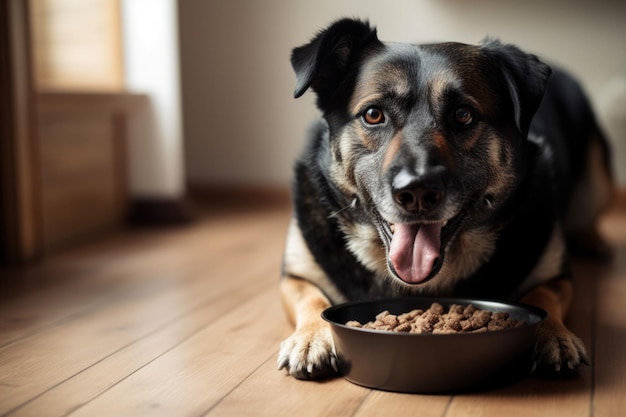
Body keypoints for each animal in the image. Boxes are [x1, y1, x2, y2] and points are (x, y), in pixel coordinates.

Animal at [276, 17, 612, 378]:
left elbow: (543, 296)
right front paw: (312, 337)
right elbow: (312, 298)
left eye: (463, 115)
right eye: (373, 114)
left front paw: (553, 336)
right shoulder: (295, 274)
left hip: (597, 175)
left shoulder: (556, 276)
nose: (417, 193)